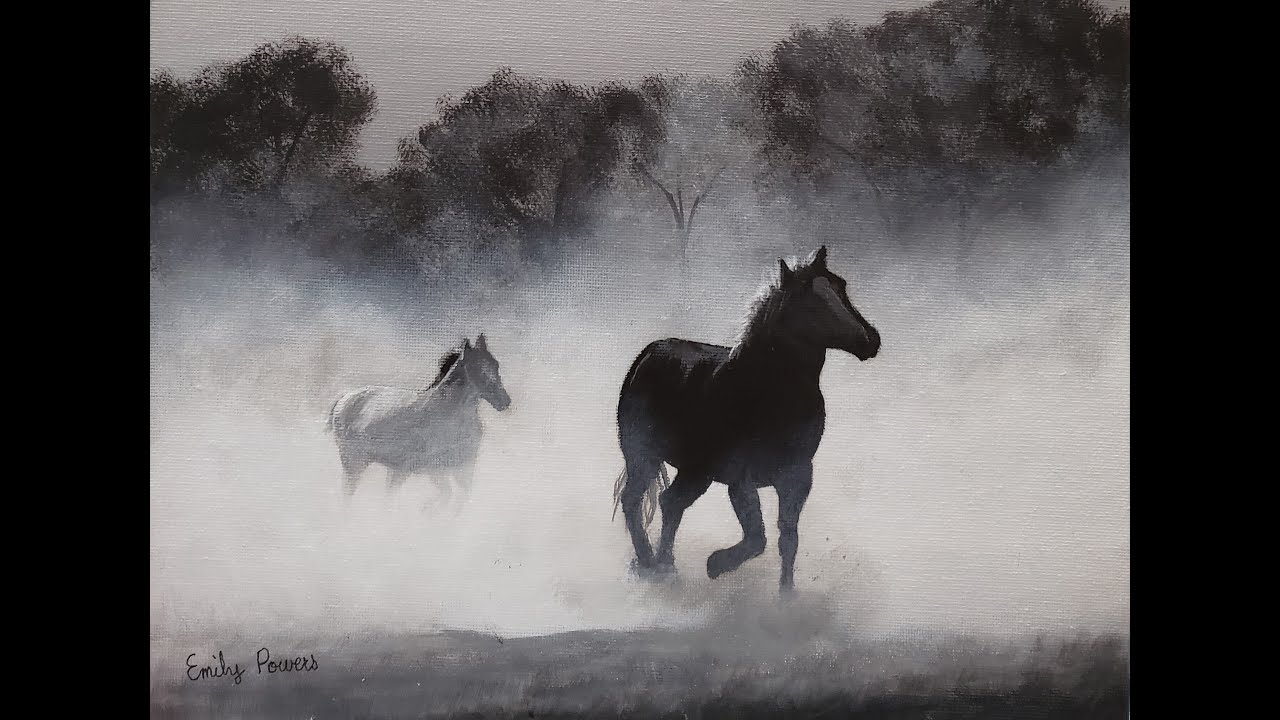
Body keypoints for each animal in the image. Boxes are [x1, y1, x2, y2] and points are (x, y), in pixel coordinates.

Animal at [325, 333, 512, 509]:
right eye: (475, 368)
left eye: (496, 365)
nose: (504, 401)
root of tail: (343, 399)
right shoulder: (432, 469)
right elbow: (446, 495)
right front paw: (426, 510)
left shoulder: (464, 468)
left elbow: (458, 499)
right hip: (354, 464)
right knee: (349, 496)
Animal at [610, 246, 880, 593]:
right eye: (809, 302)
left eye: (841, 286)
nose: (870, 340)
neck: (766, 392)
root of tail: (646, 355)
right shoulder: (741, 478)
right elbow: (756, 538)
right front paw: (716, 565)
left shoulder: (797, 476)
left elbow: (787, 539)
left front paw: (786, 596)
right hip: (644, 457)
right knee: (637, 501)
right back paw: (649, 562)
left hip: (694, 471)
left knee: (671, 503)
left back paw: (663, 564)